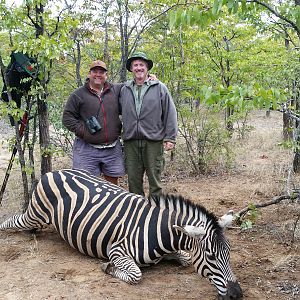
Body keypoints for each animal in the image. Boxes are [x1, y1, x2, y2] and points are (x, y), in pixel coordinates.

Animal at [0, 170, 243, 298]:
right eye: (211, 257)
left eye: (229, 253)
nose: (238, 294)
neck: (159, 231)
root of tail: (54, 171)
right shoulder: (117, 250)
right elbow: (135, 275)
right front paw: (107, 267)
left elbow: (184, 258)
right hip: (35, 214)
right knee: (11, 221)